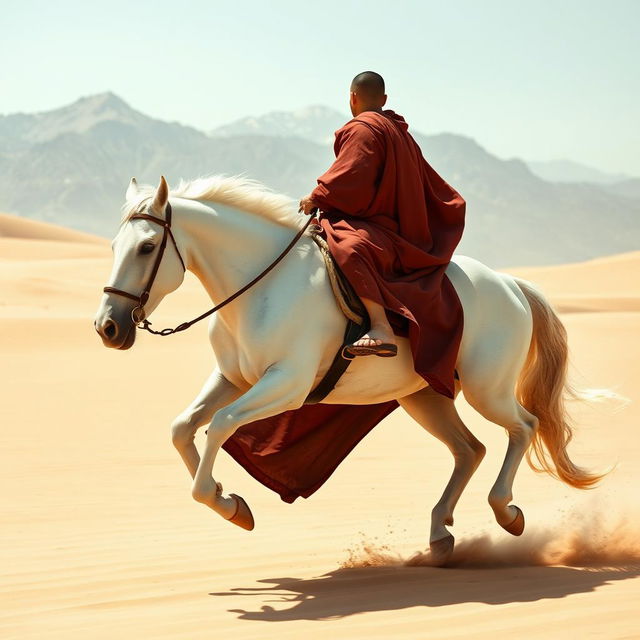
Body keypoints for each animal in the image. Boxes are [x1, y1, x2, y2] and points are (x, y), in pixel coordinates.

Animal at [94, 175, 600, 564]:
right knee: (469, 450)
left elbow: (219, 425)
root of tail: (510, 285)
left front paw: (228, 503)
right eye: (116, 245)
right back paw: (440, 534)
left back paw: (506, 512)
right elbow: (182, 427)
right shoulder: (232, 379)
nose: (108, 327)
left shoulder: (287, 385)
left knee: (524, 427)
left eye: (148, 247)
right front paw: (226, 499)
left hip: (486, 390)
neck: (260, 287)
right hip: (423, 396)